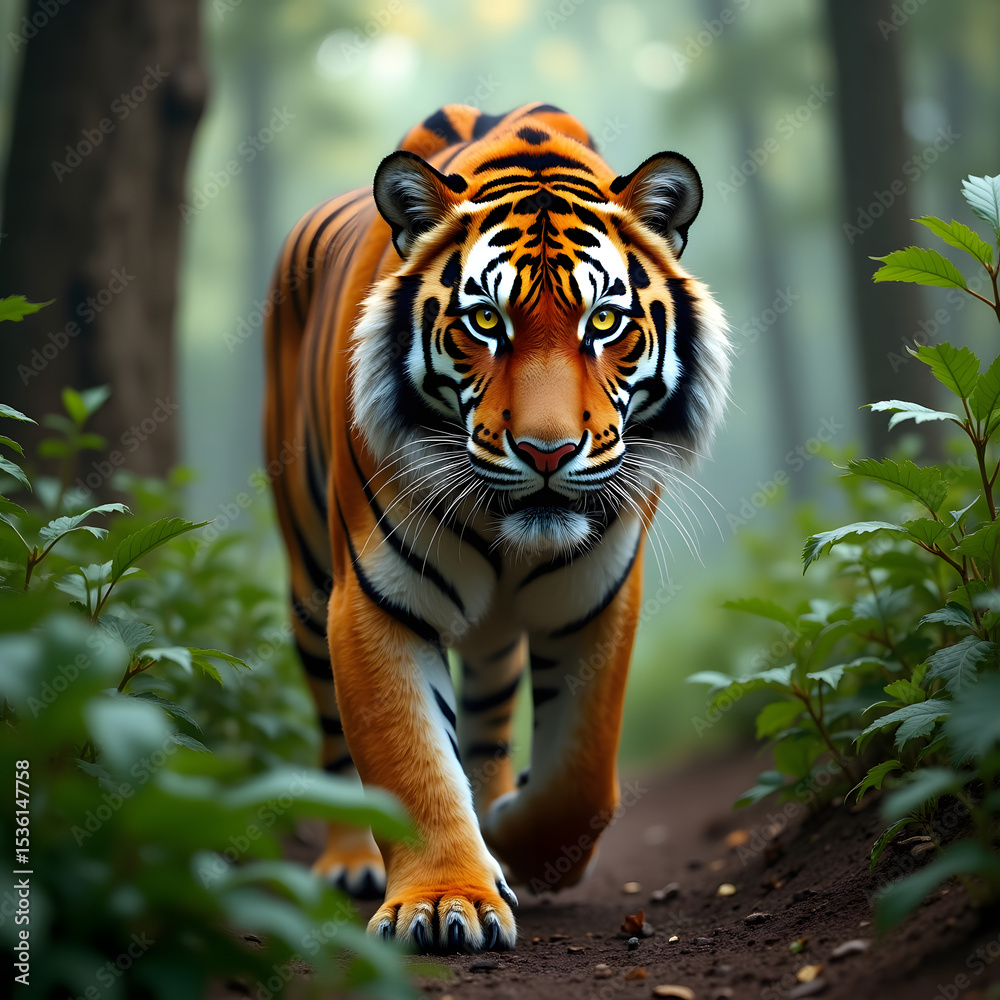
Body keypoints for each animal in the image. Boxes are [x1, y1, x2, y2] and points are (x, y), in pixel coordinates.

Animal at [263, 102, 729, 954]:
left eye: (604, 321)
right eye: (485, 320)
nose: (547, 451)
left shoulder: (595, 599)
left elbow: (581, 776)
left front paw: (513, 842)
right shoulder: (376, 604)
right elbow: (410, 764)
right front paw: (446, 900)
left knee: (483, 726)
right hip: (308, 582)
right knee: (332, 738)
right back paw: (350, 862)